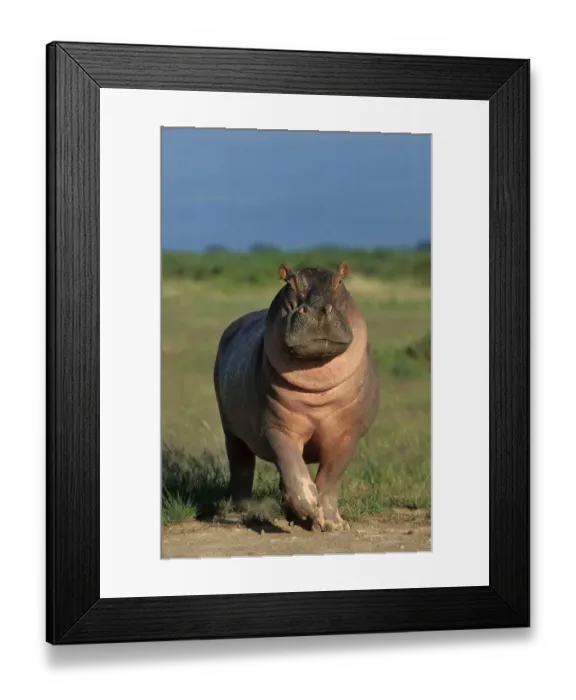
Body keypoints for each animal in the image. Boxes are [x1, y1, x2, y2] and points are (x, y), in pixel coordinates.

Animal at [213, 261, 380, 532]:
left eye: (340, 281)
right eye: (288, 283)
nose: (316, 309)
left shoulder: (346, 434)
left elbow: (331, 477)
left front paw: (331, 523)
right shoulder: (277, 428)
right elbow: (292, 468)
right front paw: (309, 505)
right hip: (232, 430)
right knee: (242, 465)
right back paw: (242, 513)